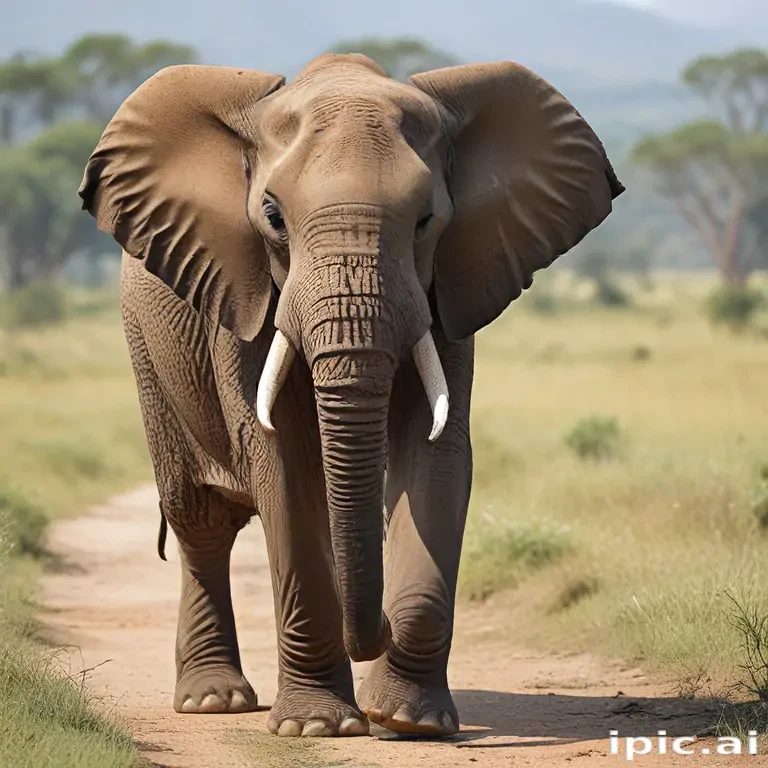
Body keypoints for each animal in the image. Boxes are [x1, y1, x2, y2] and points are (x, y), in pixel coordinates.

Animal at [78, 53, 623, 738]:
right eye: (273, 218)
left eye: (426, 221)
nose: (375, 628)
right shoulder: (246, 296)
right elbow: (282, 461)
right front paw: (317, 728)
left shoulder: (447, 294)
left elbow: (435, 453)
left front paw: (412, 720)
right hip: (147, 352)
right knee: (199, 522)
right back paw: (214, 701)